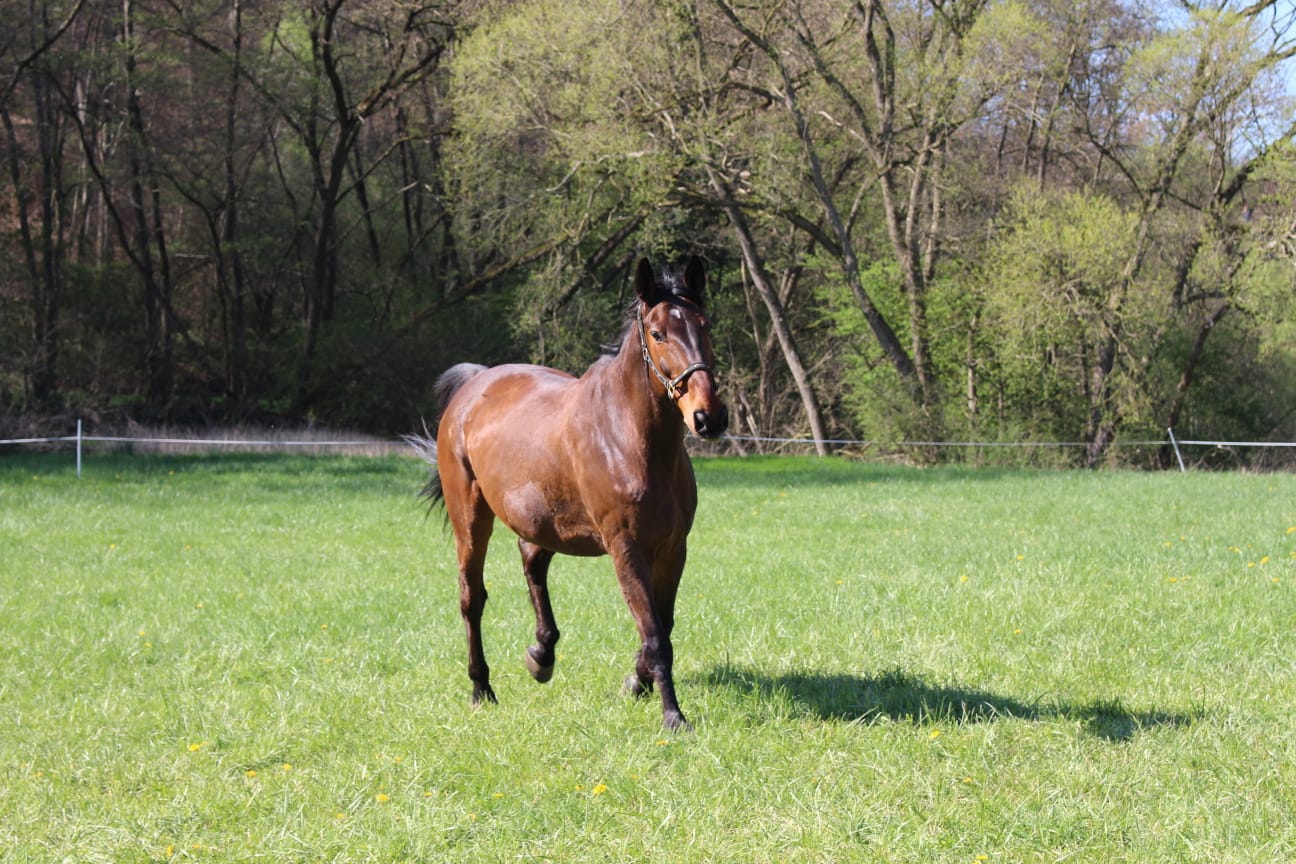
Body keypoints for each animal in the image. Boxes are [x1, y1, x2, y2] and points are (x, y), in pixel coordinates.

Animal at [411, 256, 728, 731]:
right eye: (658, 334)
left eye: (704, 326)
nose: (709, 417)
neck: (629, 439)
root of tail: (473, 385)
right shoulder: (625, 549)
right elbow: (655, 634)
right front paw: (673, 716)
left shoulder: (673, 549)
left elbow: (662, 626)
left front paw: (637, 683)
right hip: (470, 519)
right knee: (472, 598)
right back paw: (482, 688)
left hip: (544, 520)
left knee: (531, 561)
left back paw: (541, 656)